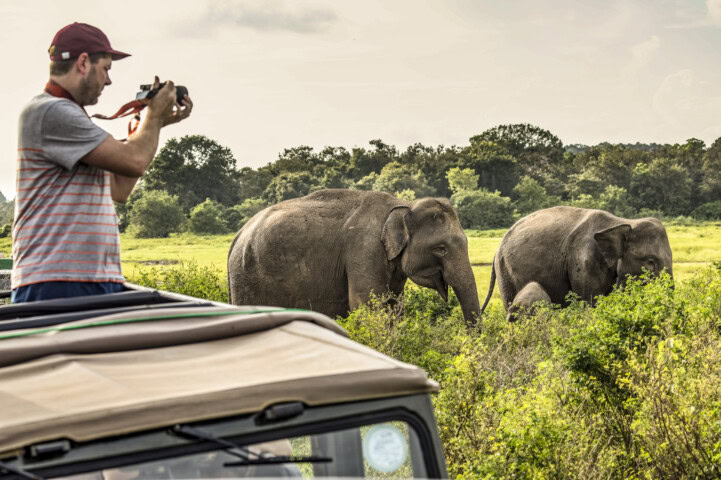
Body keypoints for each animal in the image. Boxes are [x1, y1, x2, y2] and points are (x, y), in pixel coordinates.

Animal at [228, 189, 481, 327]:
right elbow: (367, 306)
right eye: (441, 249)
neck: (403, 205)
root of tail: (238, 235)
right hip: (248, 279)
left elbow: (394, 308)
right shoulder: (364, 249)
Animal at [480, 206, 673, 318]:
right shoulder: (583, 261)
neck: (622, 222)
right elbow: (592, 303)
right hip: (505, 273)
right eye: (650, 262)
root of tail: (497, 250)